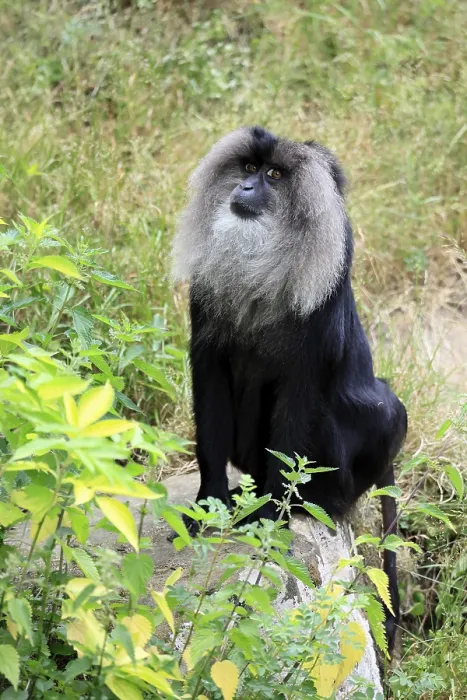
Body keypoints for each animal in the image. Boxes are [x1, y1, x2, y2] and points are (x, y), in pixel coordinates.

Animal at [171, 126, 407, 651]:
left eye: (275, 175)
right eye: (247, 168)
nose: (244, 188)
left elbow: (299, 406)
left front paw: (271, 515)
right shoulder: (208, 328)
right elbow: (210, 385)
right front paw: (212, 501)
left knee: (386, 411)